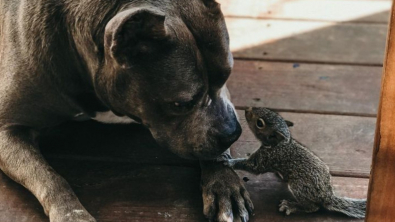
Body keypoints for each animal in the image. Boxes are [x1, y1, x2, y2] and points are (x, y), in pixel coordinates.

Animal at [0, 0, 254, 222]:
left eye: (226, 76)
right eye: (180, 104)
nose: (233, 133)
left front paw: (224, 183)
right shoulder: (7, 129)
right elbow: (50, 178)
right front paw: (72, 215)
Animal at [226, 107, 368, 219]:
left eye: (260, 123)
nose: (247, 109)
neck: (279, 144)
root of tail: (327, 196)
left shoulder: (267, 158)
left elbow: (252, 166)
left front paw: (229, 162)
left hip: (299, 186)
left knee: (312, 207)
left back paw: (291, 206)